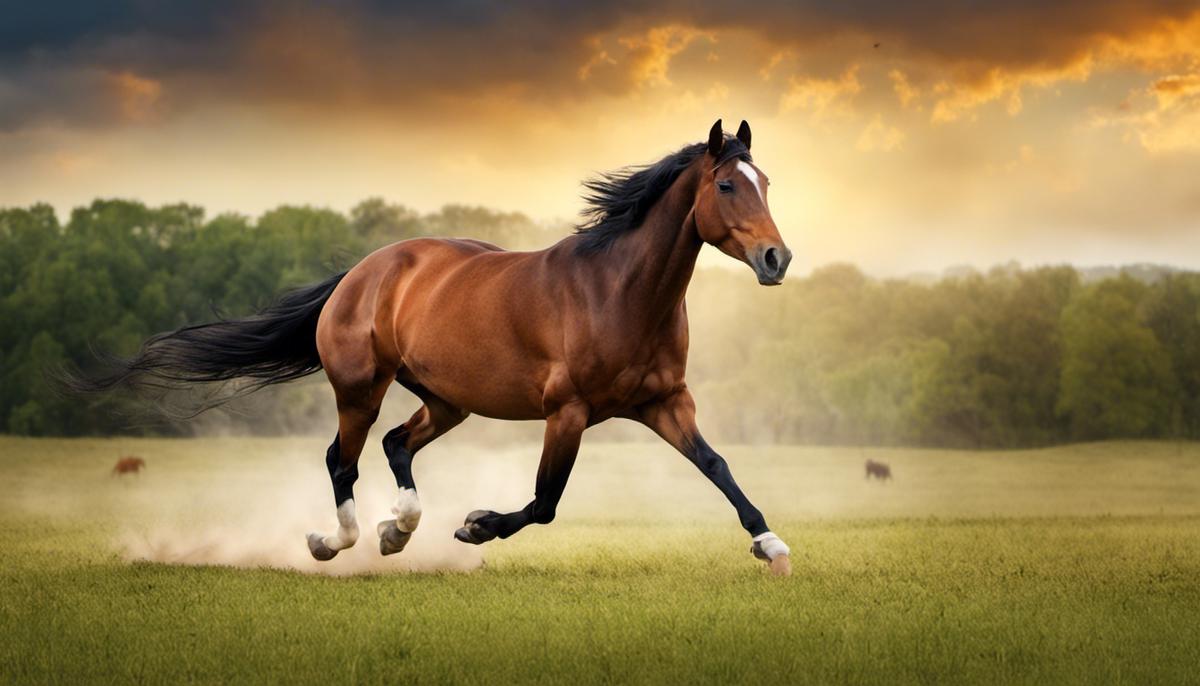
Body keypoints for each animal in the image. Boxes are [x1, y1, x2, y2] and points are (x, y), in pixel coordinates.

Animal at [70, 119, 792, 573]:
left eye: (767, 183)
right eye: (727, 185)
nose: (776, 259)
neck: (618, 291)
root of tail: (361, 272)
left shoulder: (665, 403)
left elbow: (718, 466)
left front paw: (771, 543)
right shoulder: (569, 412)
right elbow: (545, 502)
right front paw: (475, 526)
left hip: (447, 399)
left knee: (394, 445)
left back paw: (396, 530)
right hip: (360, 390)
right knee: (342, 460)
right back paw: (336, 541)